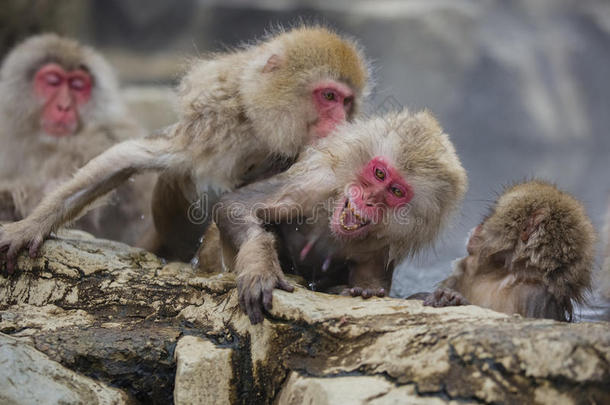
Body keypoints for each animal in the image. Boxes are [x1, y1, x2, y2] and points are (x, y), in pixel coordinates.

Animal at [214, 109, 466, 324]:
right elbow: (234, 206)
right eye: (379, 173)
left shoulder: (384, 245)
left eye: (396, 191)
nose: (369, 199)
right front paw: (260, 269)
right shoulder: (313, 186)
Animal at [420, 180, 592, 322]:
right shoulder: (461, 275)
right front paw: (440, 297)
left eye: (489, 217)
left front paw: (454, 299)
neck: (500, 274)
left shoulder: (538, 296)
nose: (479, 226)